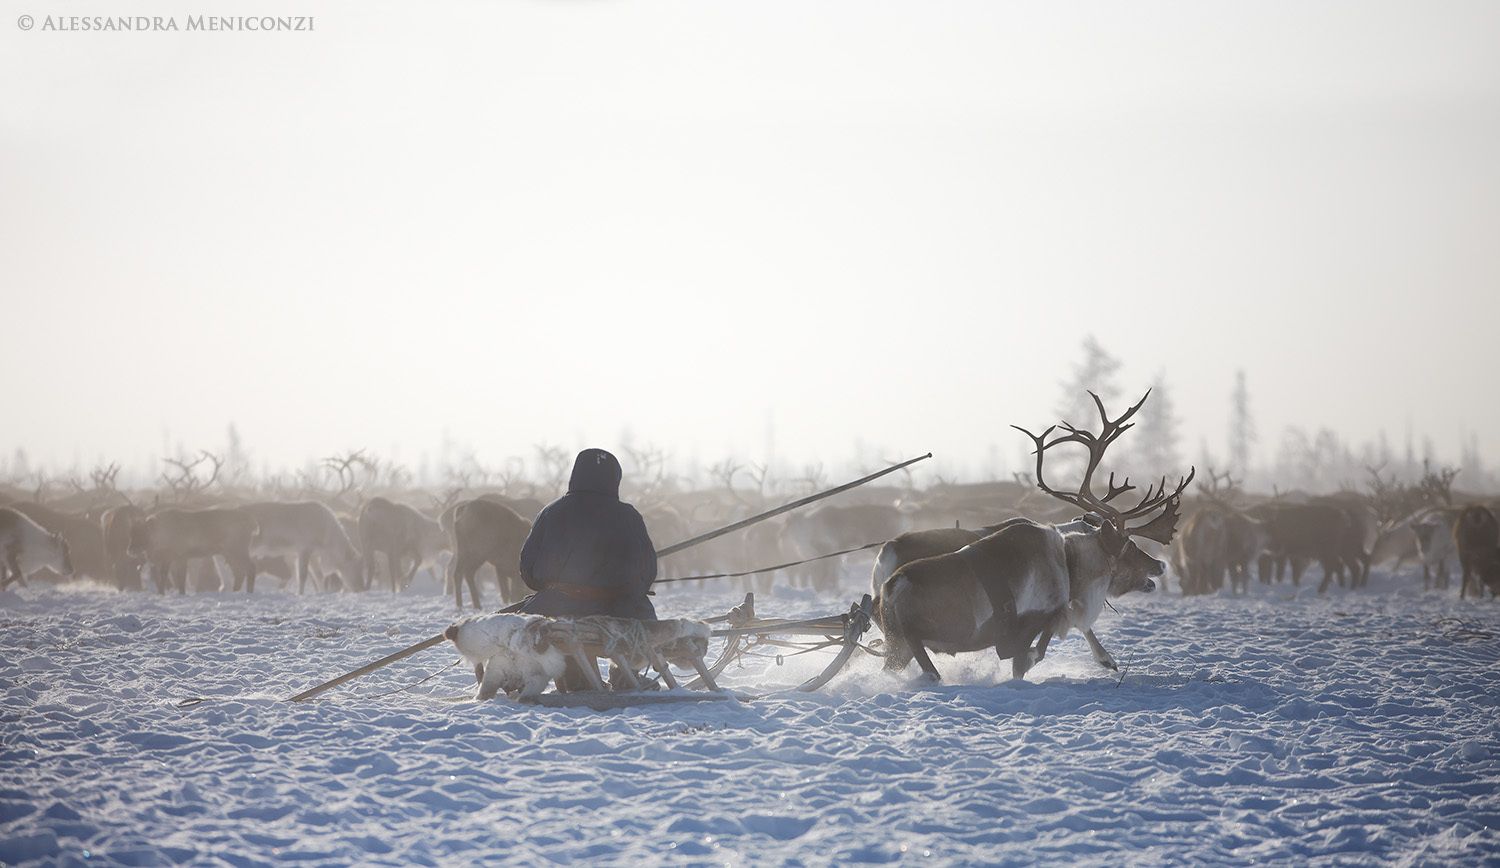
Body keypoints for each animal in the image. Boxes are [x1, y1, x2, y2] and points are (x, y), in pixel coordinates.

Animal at [878, 391, 1192, 682]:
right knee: (926, 669)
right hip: (912, 639)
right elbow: (1034, 653)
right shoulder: (1034, 621)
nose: (1160, 565)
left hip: (898, 646)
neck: (1071, 563)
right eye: (1130, 546)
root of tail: (890, 585)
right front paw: (1102, 659)